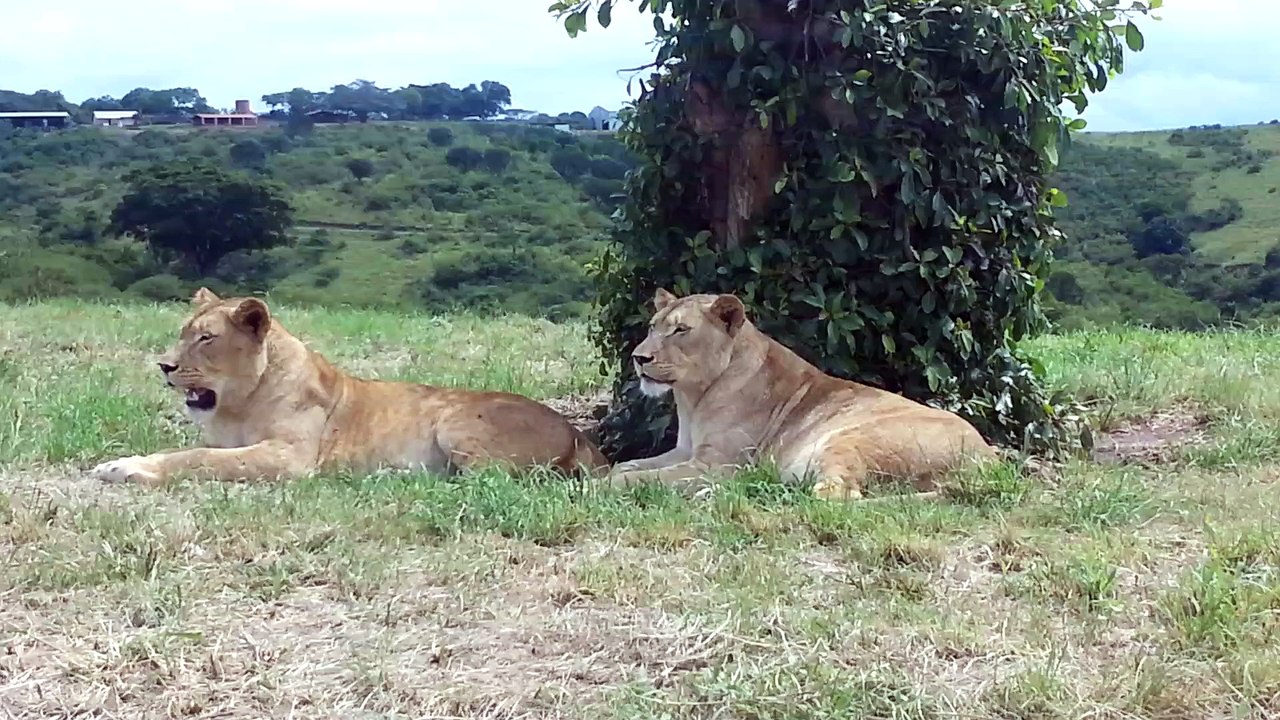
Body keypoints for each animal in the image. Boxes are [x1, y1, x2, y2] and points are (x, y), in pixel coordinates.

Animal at [90, 288, 609, 487]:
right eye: (183, 332)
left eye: (206, 338)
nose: (165, 365)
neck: (239, 403)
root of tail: (576, 431)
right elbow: (193, 450)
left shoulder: (292, 457)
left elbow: (199, 459)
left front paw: (128, 470)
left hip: (454, 422)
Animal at [609, 288, 997, 499]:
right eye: (652, 327)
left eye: (681, 331)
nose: (639, 358)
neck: (693, 399)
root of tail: (988, 458)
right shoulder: (685, 452)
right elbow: (627, 464)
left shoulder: (717, 465)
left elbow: (635, 477)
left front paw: (602, 487)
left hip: (851, 437)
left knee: (833, 497)